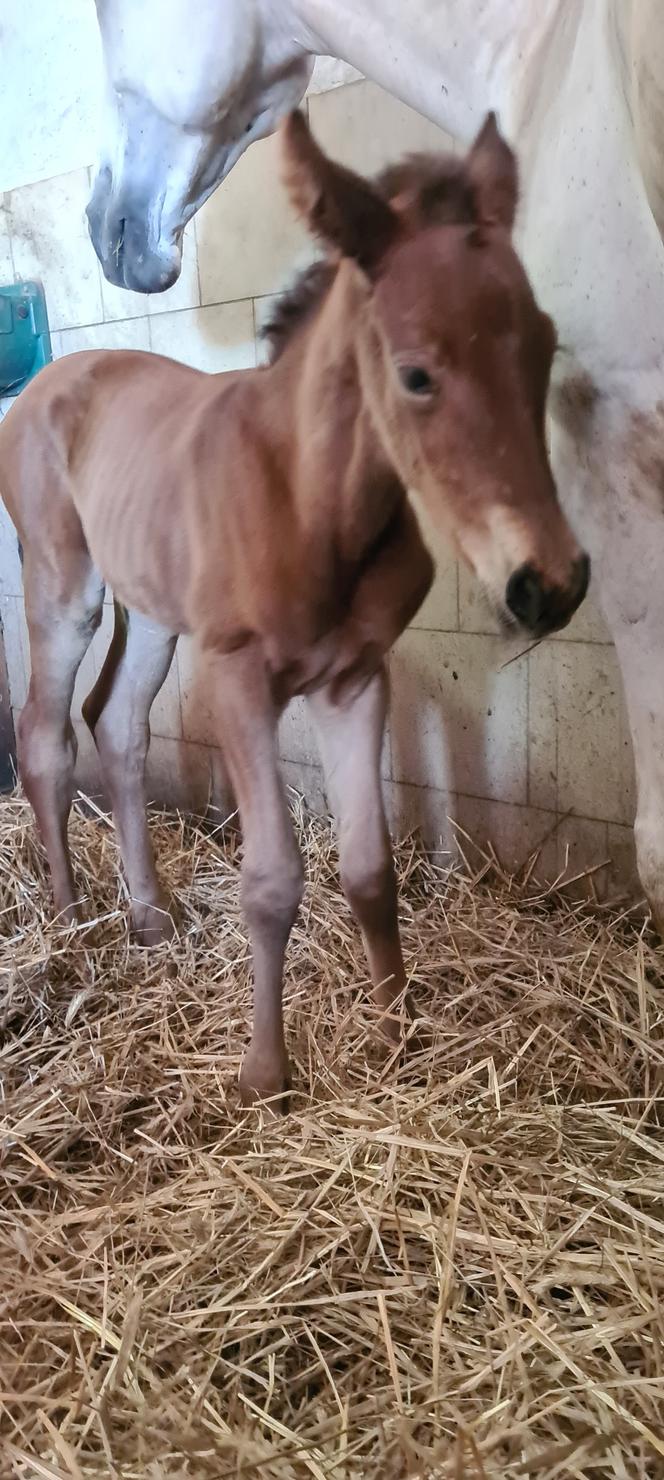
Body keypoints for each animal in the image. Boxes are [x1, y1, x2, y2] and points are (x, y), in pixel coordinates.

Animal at [2, 115, 588, 1107]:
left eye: (544, 343)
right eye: (417, 374)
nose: (550, 584)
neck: (314, 504)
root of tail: (47, 384)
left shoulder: (356, 679)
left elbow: (369, 869)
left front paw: (396, 1033)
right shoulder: (241, 680)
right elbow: (273, 880)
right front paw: (265, 1078)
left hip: (154, 610)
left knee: (115, 723)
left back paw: (147, 916)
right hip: (63, 588)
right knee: (44, 733)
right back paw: (73, 927)